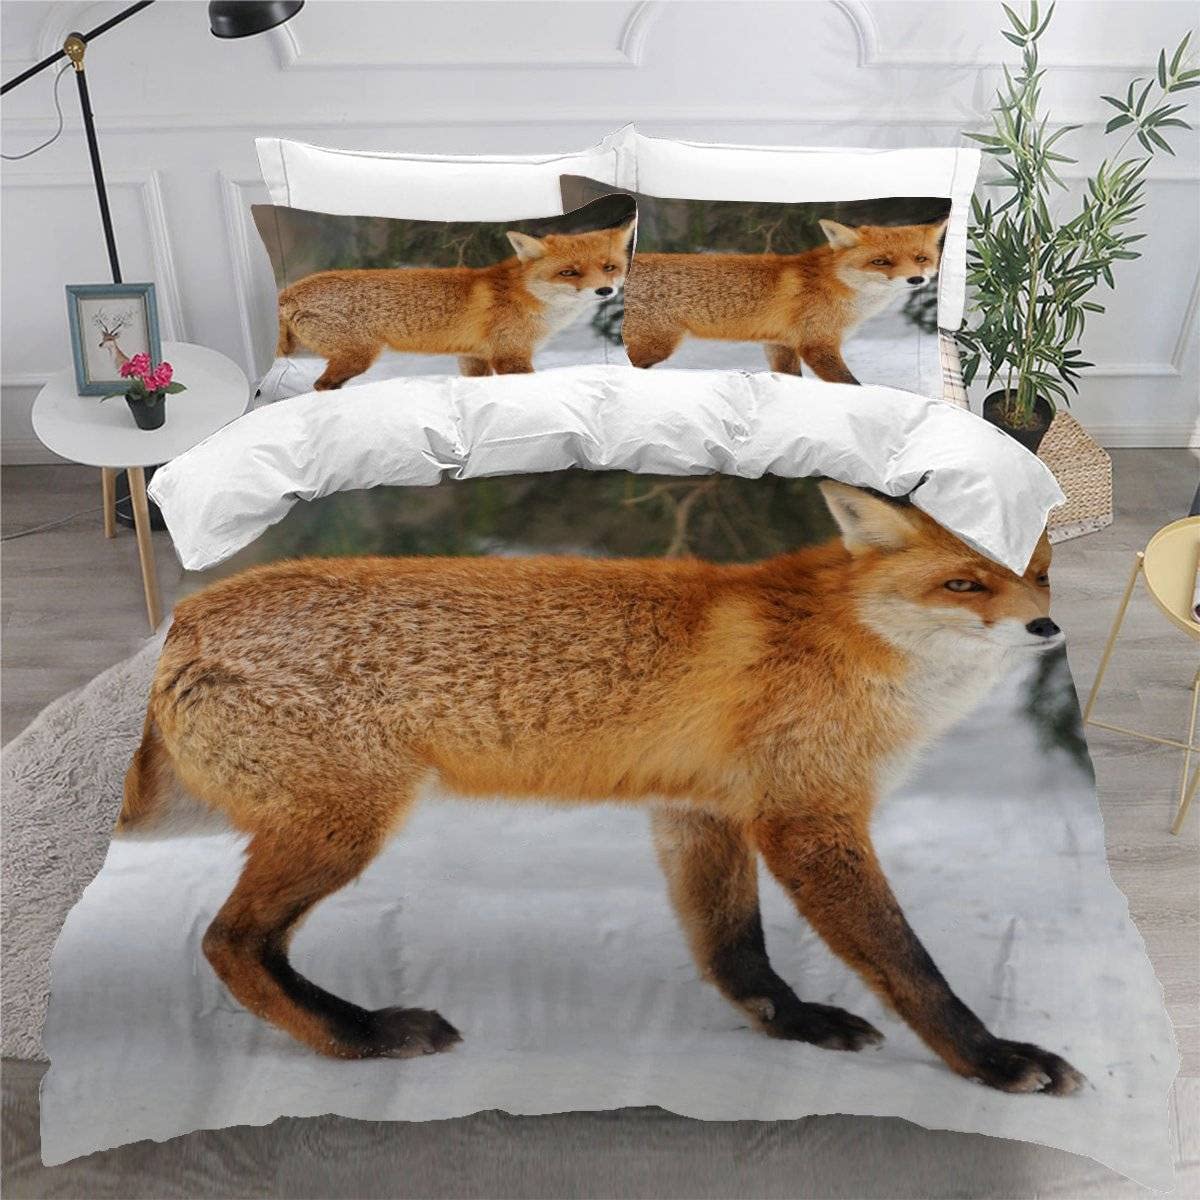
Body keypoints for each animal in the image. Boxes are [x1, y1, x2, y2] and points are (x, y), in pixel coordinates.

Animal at [119, 483, 1083, 1095]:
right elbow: (911, 966)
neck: (857, 648)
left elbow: (735, 951)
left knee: (239, 944)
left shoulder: (699, 810)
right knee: (230, 943)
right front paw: (993, 1060)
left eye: (1039, 575)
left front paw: (794, 1024)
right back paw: (364, 1038)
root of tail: (179, 626)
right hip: (345, 826)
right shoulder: (808, 816)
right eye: (964, 583)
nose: (1047, 627)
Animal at [274, 221, 635, 390]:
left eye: (609, 267)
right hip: (358, 356)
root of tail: (288, 292)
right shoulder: (510, 355)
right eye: (569, 272)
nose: (605, 290)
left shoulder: (474, 357)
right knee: (321, 386)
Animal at [622, 218, 948, 383]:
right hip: (656, 345)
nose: (916, 280)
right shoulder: (817, 344)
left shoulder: (780, 344)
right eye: (881, 261)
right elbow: (853, 385)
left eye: (921, 258)